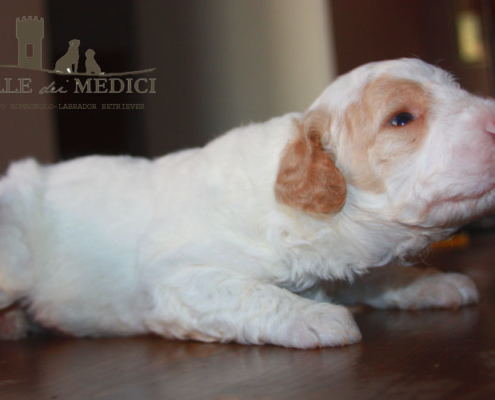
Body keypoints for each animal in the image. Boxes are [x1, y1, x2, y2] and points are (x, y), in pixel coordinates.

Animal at [0, 58, 495, 346]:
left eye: (458, 89)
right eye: (401, 118)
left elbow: (374, 276)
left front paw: (430, 283)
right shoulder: (175, 280)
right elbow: (253, 293)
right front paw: (320, 318)